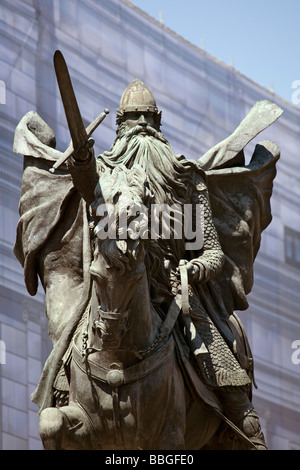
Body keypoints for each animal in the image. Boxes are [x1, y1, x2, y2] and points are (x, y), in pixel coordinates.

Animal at [38, 163, 248, 450]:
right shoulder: (90, 426)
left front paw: (186, 270)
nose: (110, 333)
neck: (116, 363)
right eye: (95, 275)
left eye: (138, 277)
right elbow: (51, 421)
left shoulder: (168, 434)